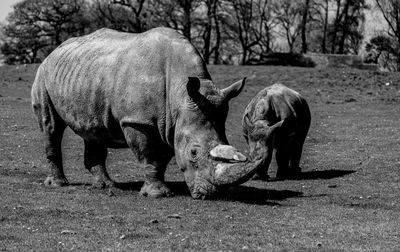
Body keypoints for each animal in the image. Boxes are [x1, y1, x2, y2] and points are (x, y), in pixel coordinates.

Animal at [30, 27, 262, 199]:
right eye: (194, 153)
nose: (213, 194)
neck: (180, 95)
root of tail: (54, 51)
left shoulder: (169, 124)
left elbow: (162, 158)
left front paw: (158, 189)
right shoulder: (138, 121)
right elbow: (149, 155)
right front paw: (157, 195)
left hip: (85, 77)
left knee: (94, 130)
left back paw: (106, 186)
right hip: (43, 75)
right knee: (51, 126)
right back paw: (58, 184)